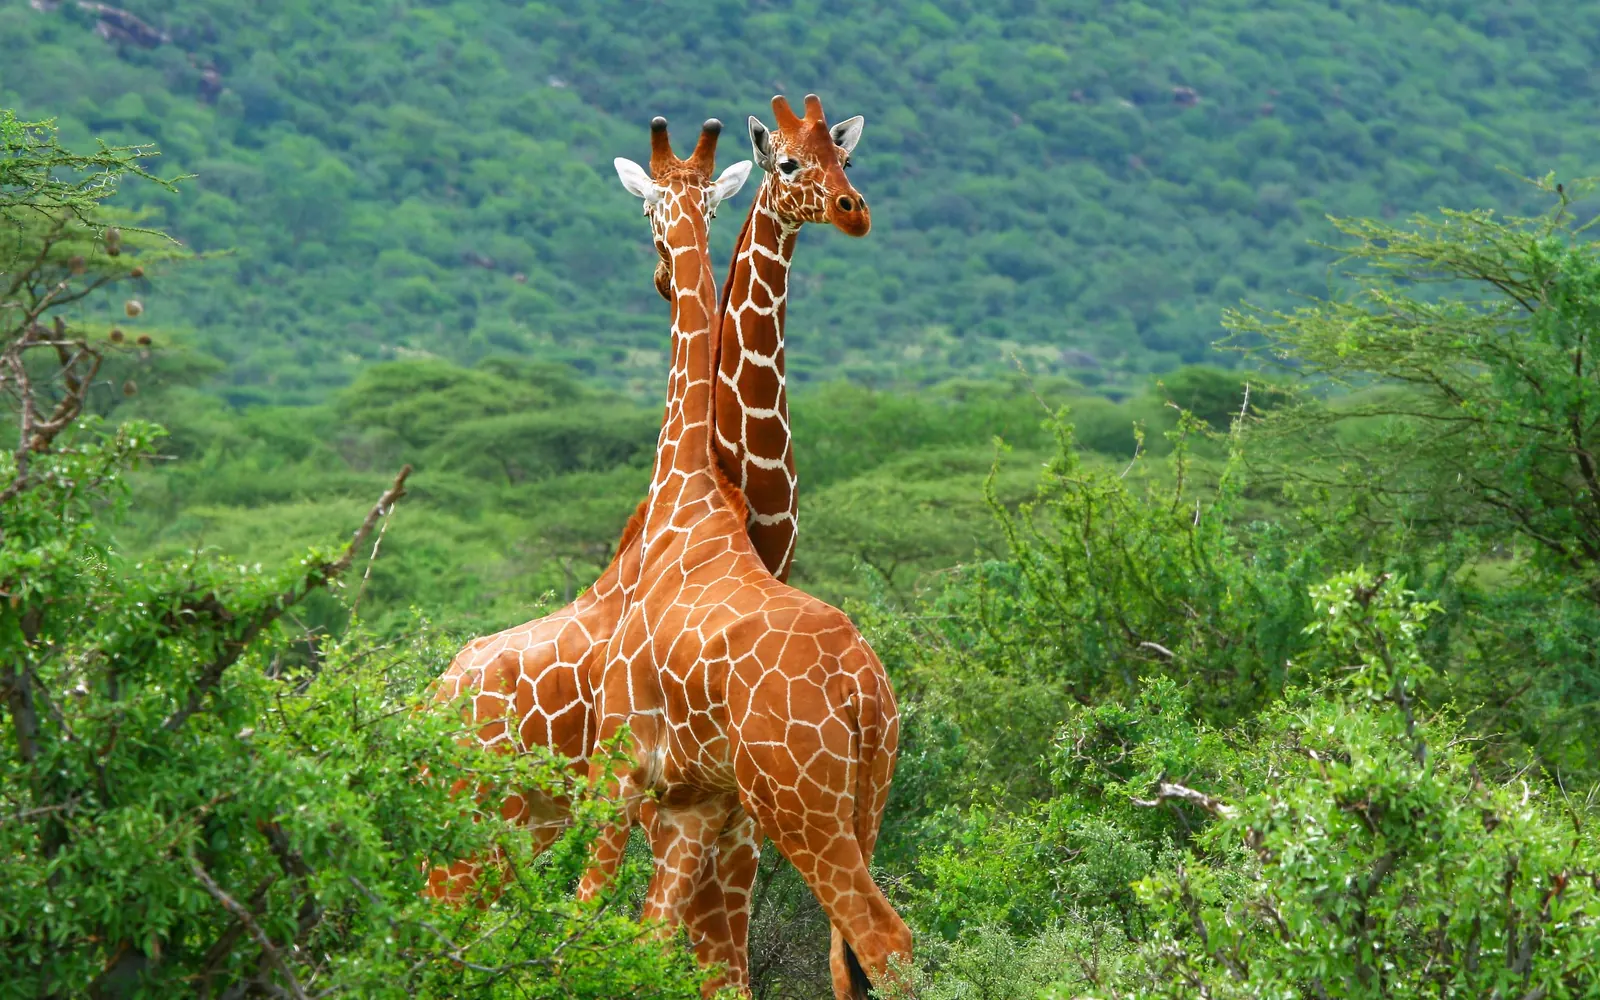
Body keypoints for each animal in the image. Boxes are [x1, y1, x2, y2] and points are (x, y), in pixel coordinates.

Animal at [603, 109, 908, 1000]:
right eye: (790, 162)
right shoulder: (694, 807)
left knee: (880, 940)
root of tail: (863, 687)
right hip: (854, 802)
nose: (852, 210)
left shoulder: (651, 786)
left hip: (797, 804)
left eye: (844, 159)